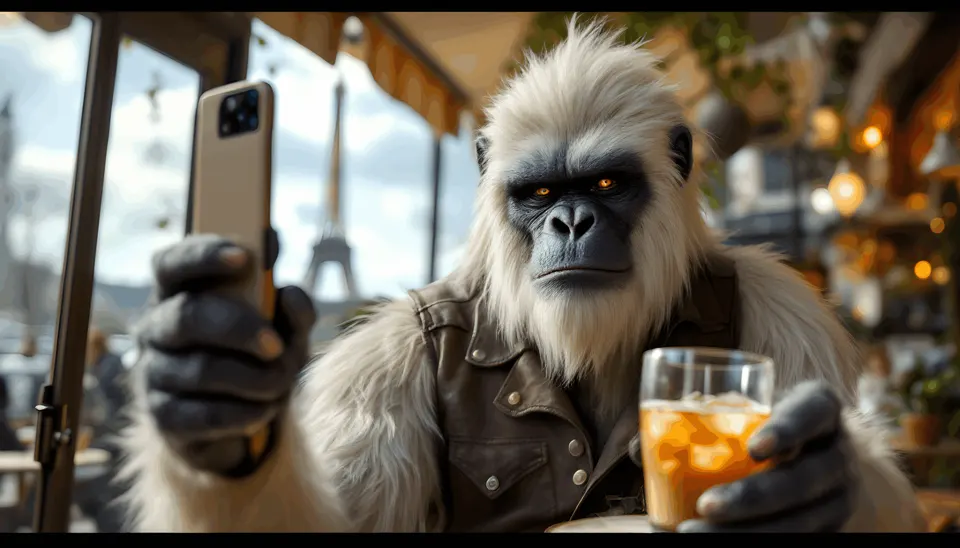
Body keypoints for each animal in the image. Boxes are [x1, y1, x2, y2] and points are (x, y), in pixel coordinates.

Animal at [121, 17, 925, 533]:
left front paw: (822, 480)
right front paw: (211, 418)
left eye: (606, 185)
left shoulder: (786, 312)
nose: (570, 223)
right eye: (539, 194)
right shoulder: (397, 348)